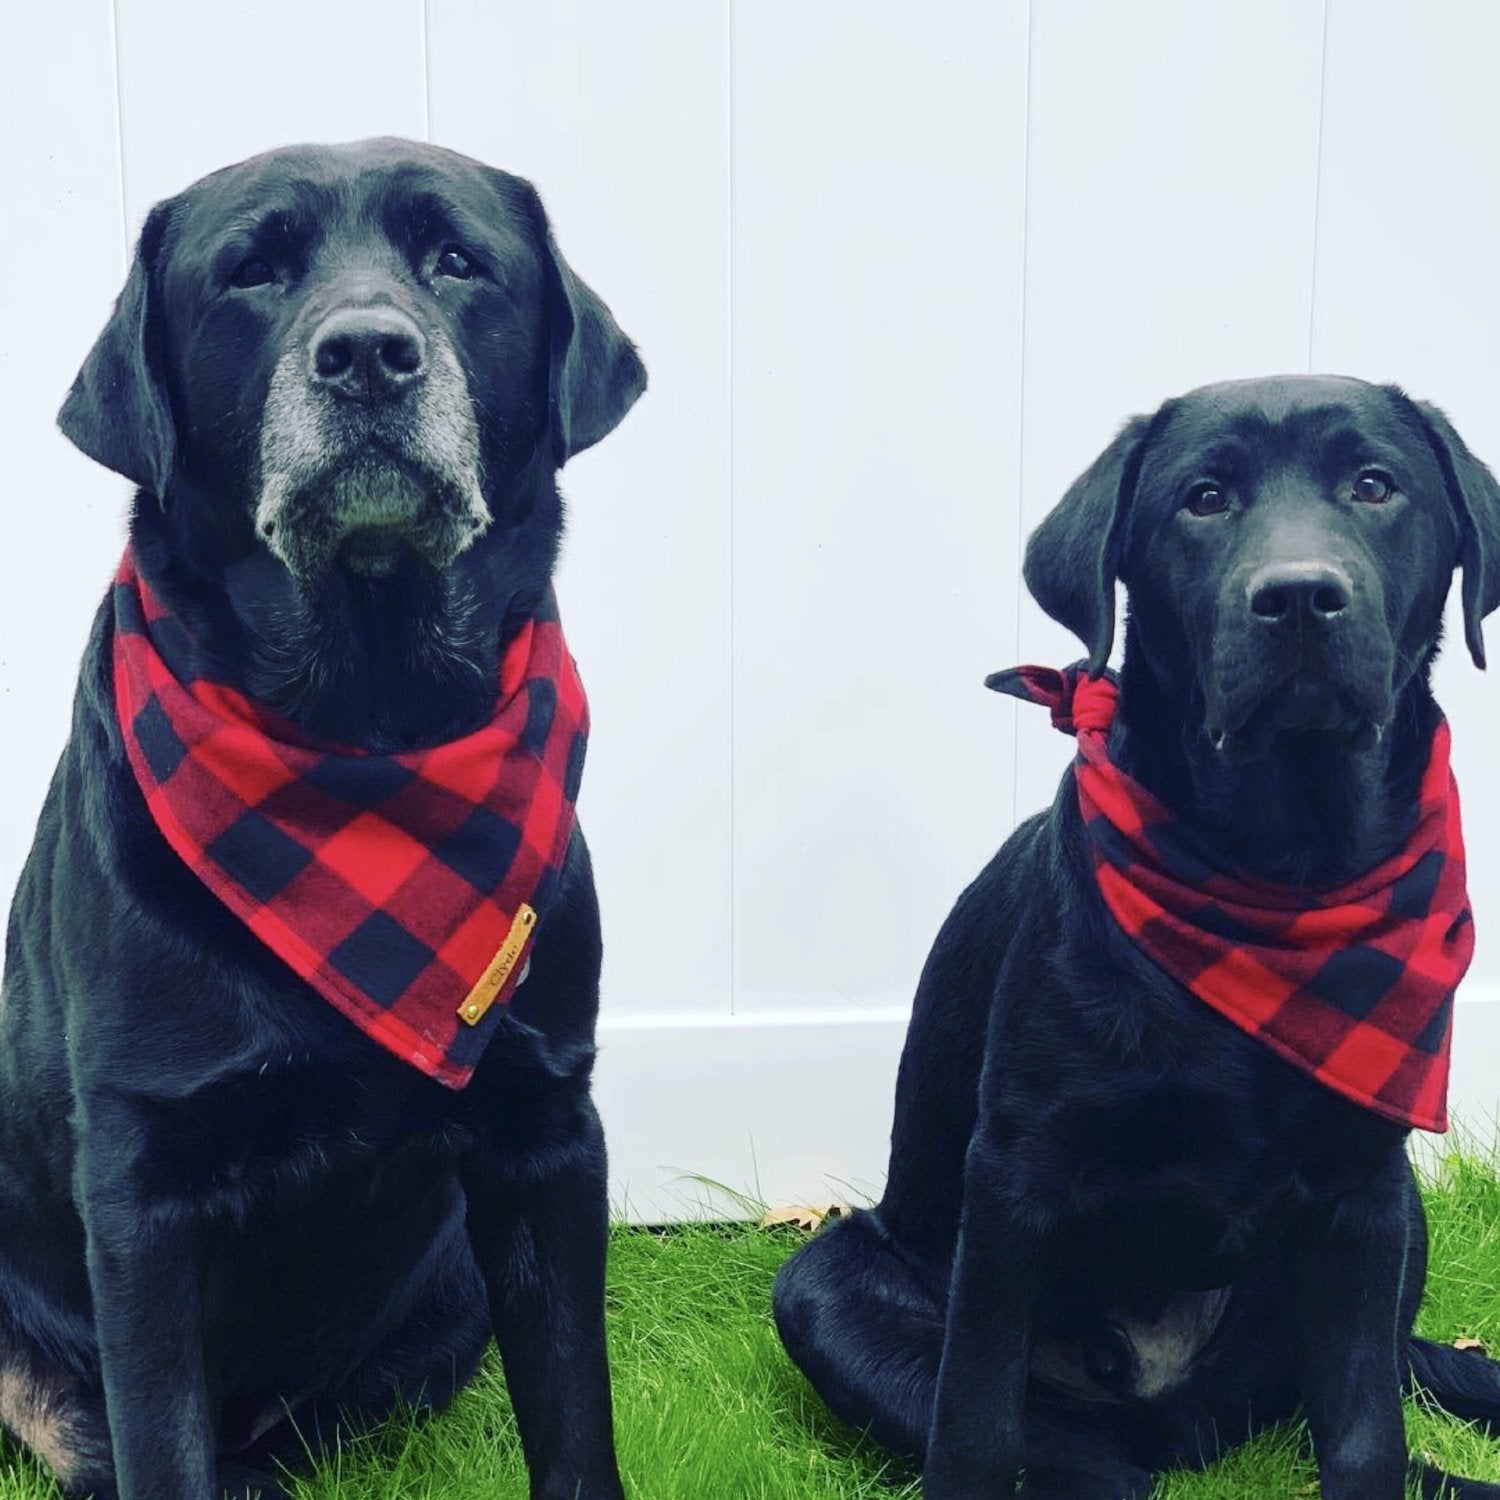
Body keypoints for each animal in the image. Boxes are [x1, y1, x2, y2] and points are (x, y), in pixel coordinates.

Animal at [0, 141, 639, 1500]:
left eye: (455, 258)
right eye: (254, 270)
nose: (367, 353)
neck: (366, 735)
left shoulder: (548, 1133)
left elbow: (575, 1426)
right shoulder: (143, 1186)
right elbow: (162, 1445)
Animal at [780, 378, 1500, 1500]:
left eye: (1376, 486)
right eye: (1202, 499)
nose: (1300, 596)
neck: (1279, 877)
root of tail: (1181, 1424)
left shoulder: (1364, 1194)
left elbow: (1364, 1431)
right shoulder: (1014, 1180)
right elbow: (974, 1421)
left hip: (1403, 1225)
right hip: (823, 1279)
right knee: (1081, 1458)